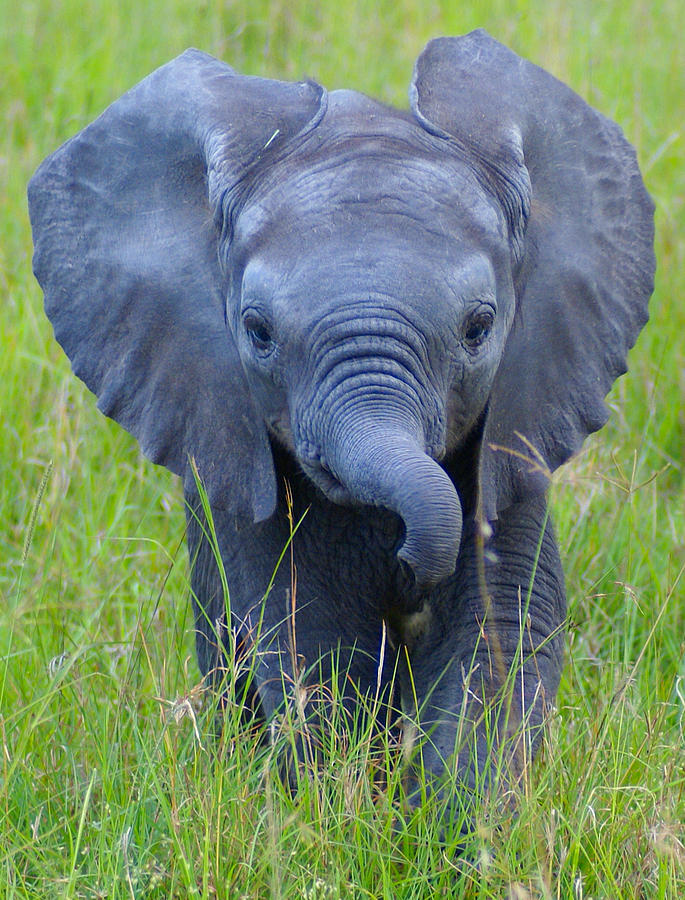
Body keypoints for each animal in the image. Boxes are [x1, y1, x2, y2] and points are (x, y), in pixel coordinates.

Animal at [29, 31, 656, 828]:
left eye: (479, 327)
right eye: (257, 332)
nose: (411, 569)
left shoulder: (517, 435)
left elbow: (496, 637)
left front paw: (450, 839)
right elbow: (314, 641)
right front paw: (344, 822)